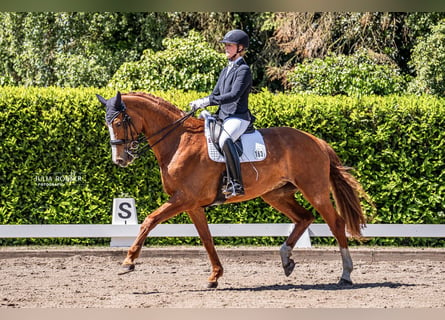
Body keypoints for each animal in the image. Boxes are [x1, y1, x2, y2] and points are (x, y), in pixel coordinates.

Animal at [96, 91, 368, 288]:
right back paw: (286, 259)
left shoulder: (183, 198)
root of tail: (317, 141)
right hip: (276, 193)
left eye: (118, 122)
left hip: (315, 191)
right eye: (107, 124)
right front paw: (215, 276)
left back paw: (345, 274)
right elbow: (206, 239)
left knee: (336, 223)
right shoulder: (192, 204)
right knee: (304, 218)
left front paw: (128, 262)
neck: (179, 141)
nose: (120, 160)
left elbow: (149, 220)